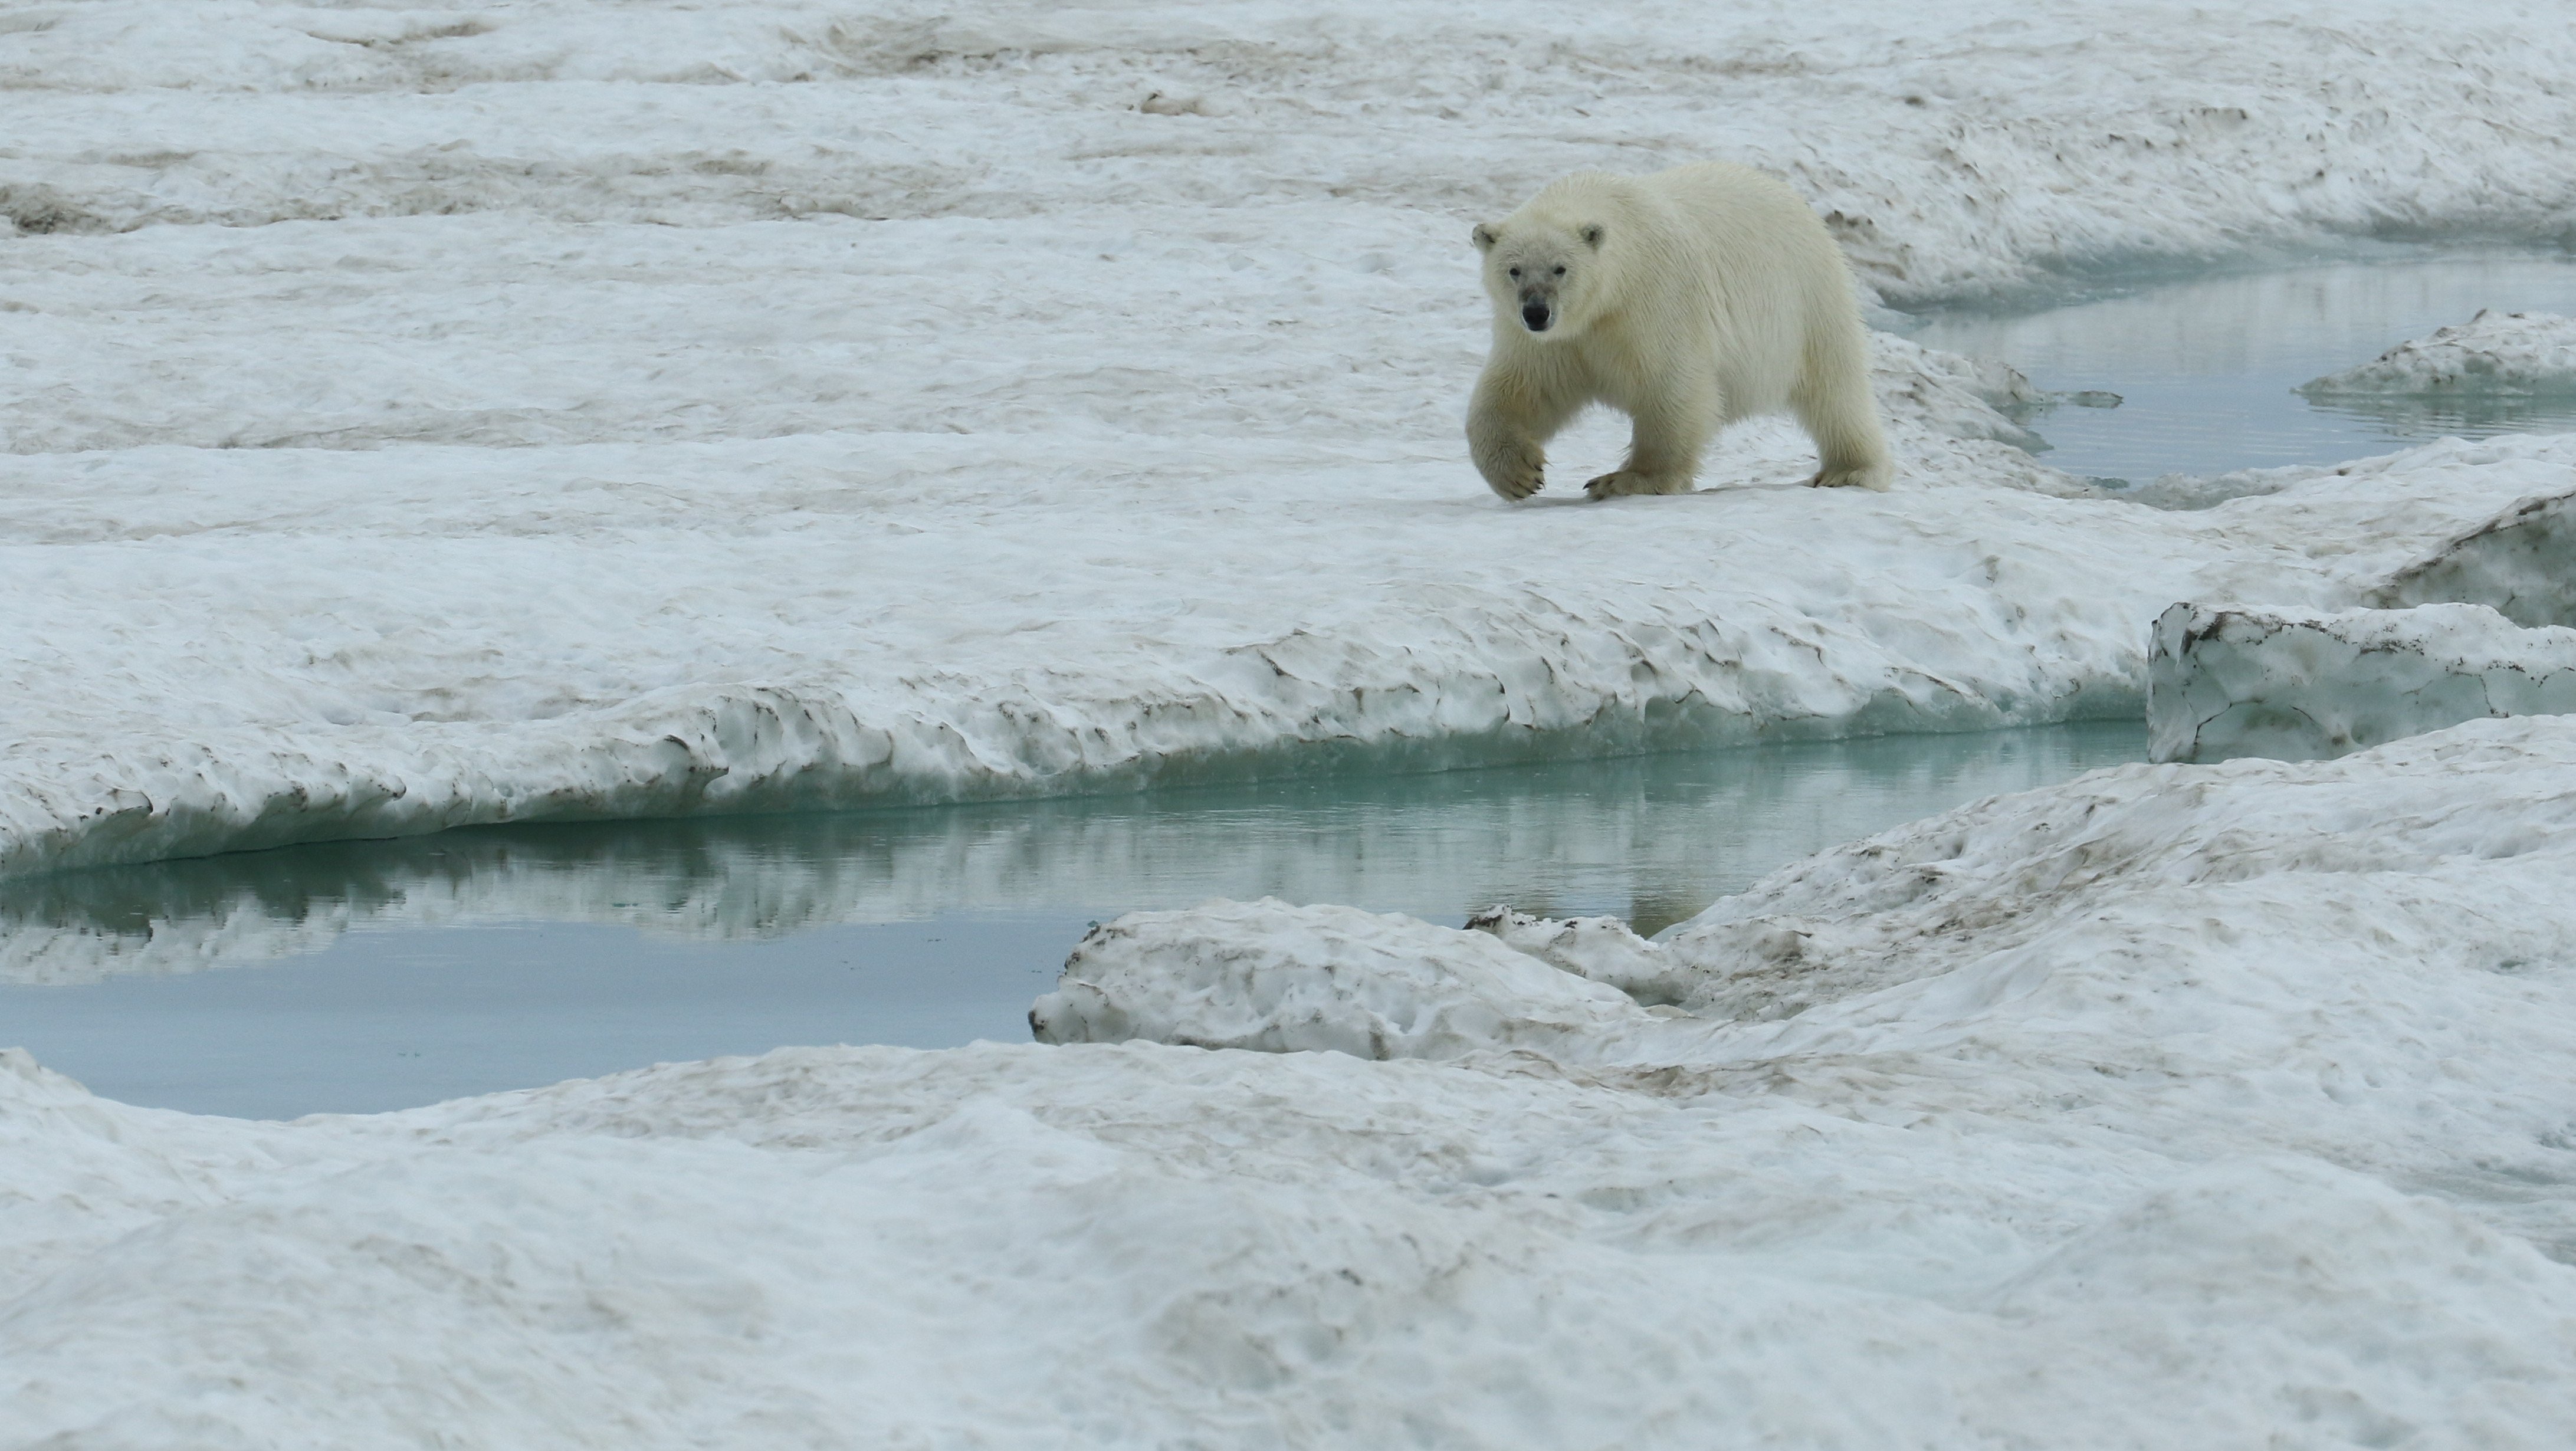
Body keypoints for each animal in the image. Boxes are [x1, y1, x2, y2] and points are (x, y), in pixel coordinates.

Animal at [1473, 162, 1896, 503]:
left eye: (1560, 268)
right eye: (1513, 270)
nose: (1536, 313)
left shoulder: (1655, 301)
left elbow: (1671, 386)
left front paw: (1626, 480)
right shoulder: (1556, 340)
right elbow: (1523, 388)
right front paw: (1518, 474)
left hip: (1809, 300)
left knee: (1835, 388)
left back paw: (1849, 469)